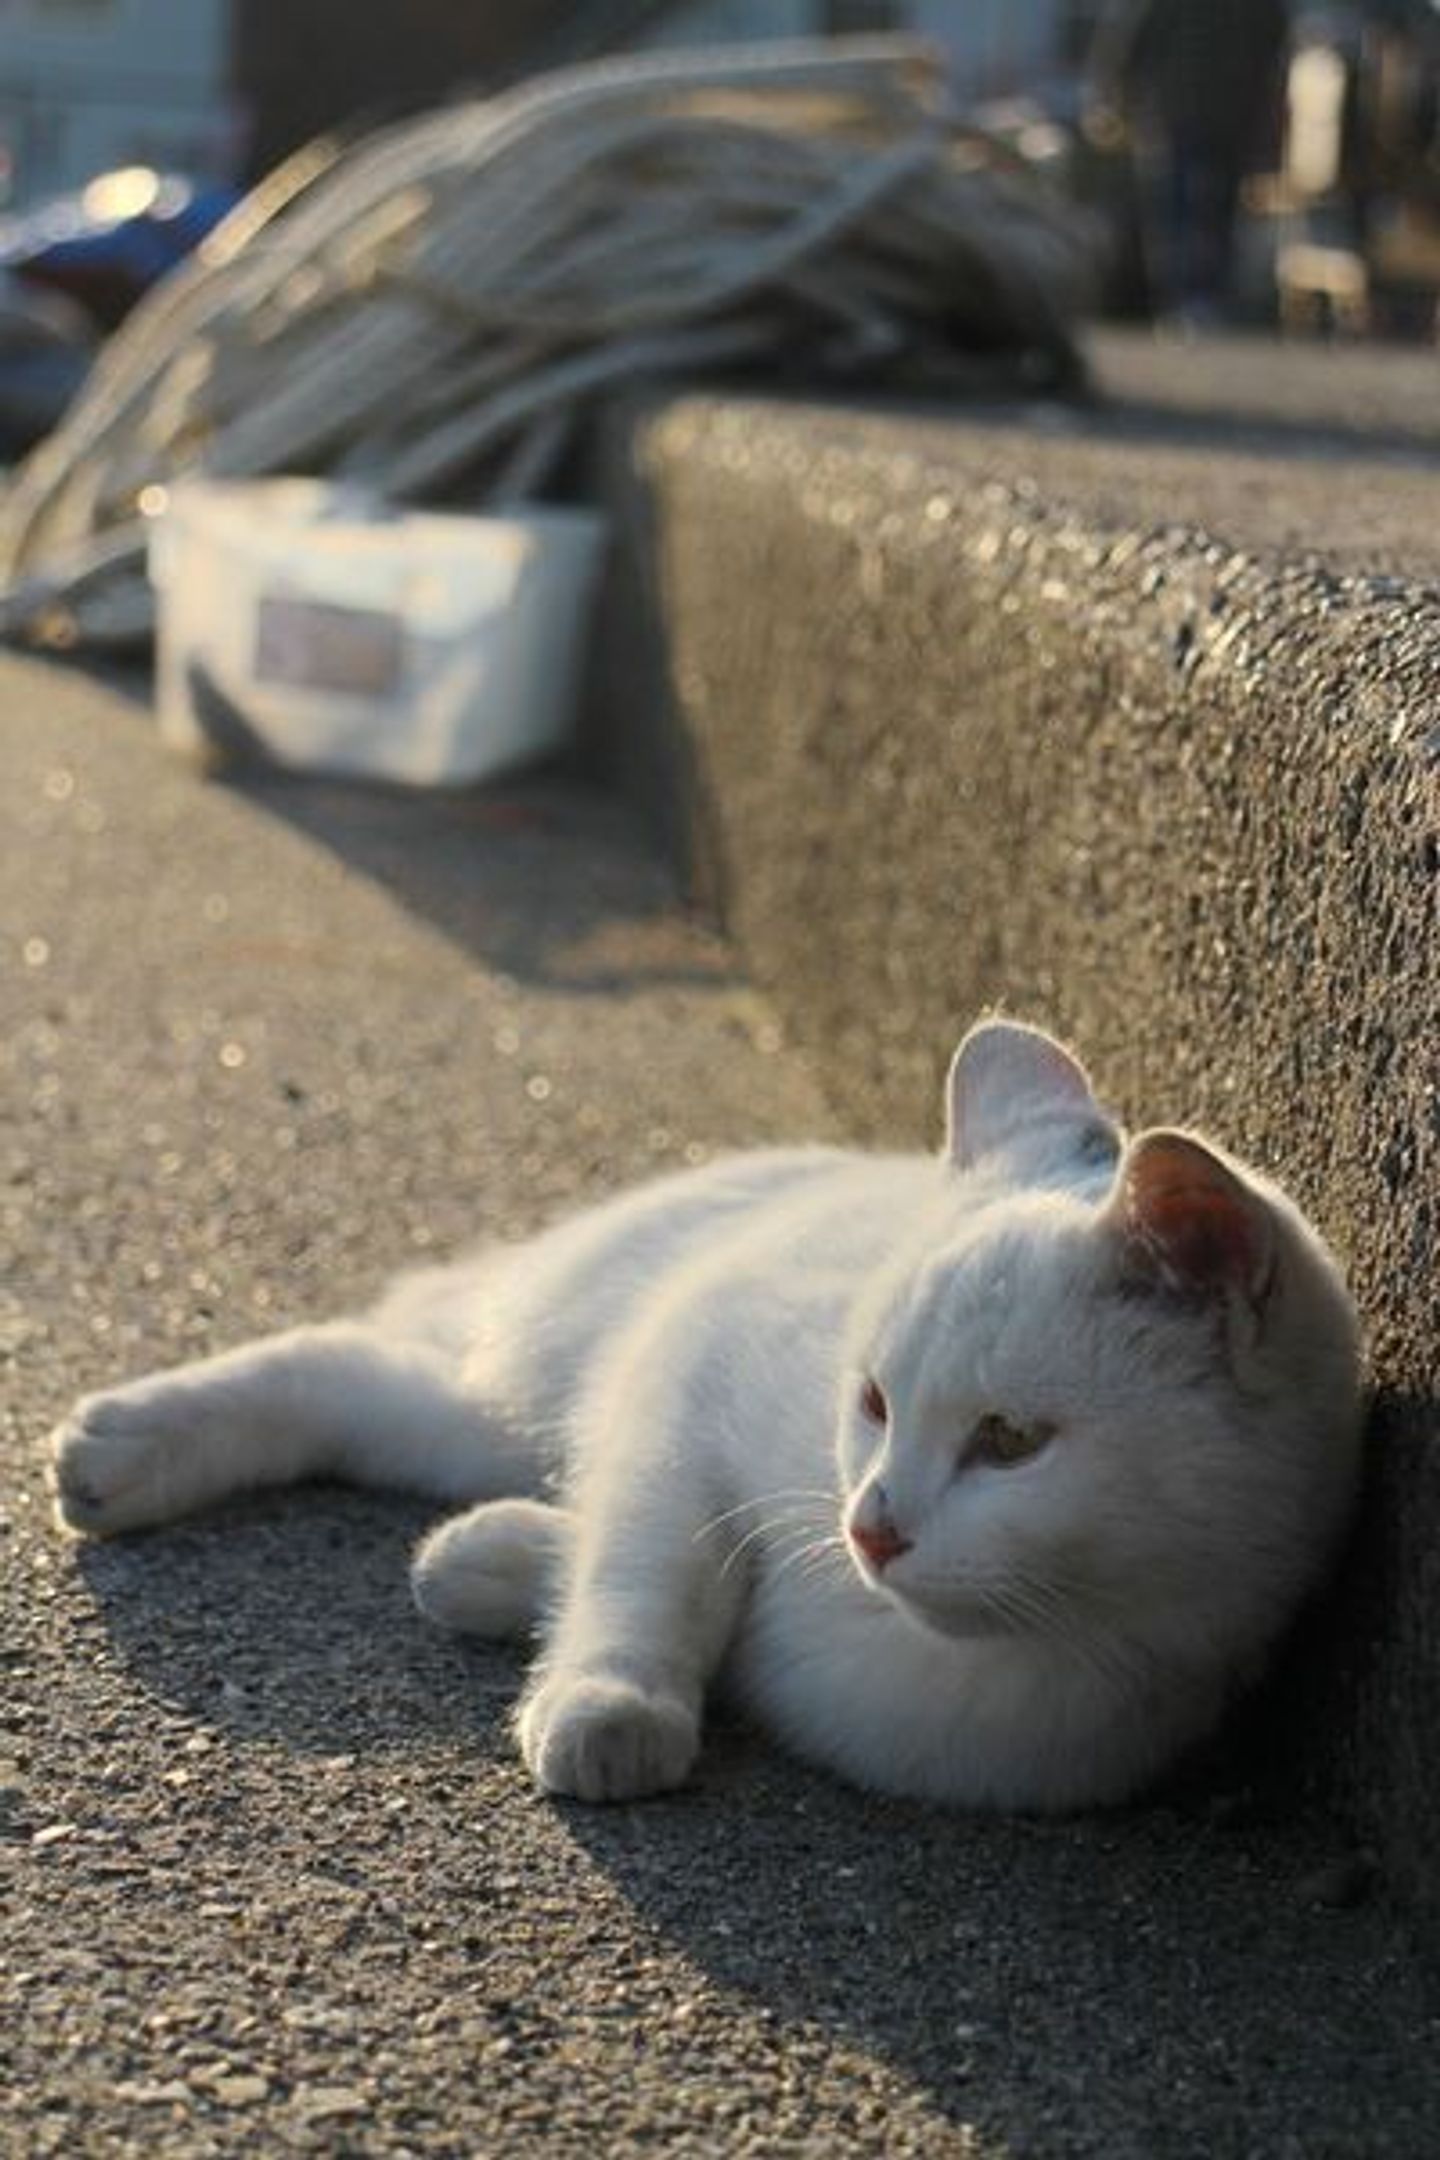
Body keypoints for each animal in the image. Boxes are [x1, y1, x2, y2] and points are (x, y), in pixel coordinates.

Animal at [47, 1019, 1364, 1814]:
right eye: (872, 1401)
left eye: (1010, 1443)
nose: (871, 1526)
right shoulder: (687, 1369)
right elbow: (658, 1565)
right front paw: (612, 1700)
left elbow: (639, 1563)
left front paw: (520, 1572)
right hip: (549, 1364)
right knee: (356, 1361)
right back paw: (121, 1445)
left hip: (502, 1413)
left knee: (390, 1399)